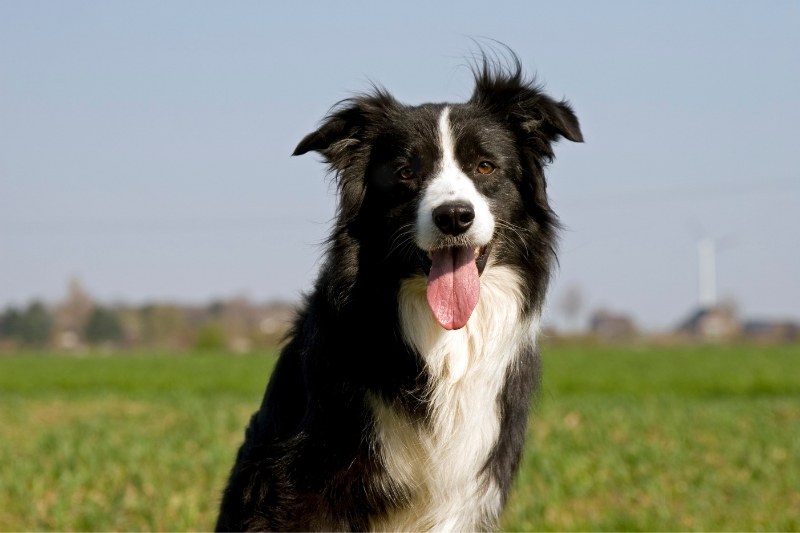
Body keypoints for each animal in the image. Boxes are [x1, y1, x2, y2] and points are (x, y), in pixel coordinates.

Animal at [216, 52, 584, 528]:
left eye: (485, 166)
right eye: (406, 173)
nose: (454, 216)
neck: (443, 341)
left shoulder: (465, 490)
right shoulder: (302, 481)